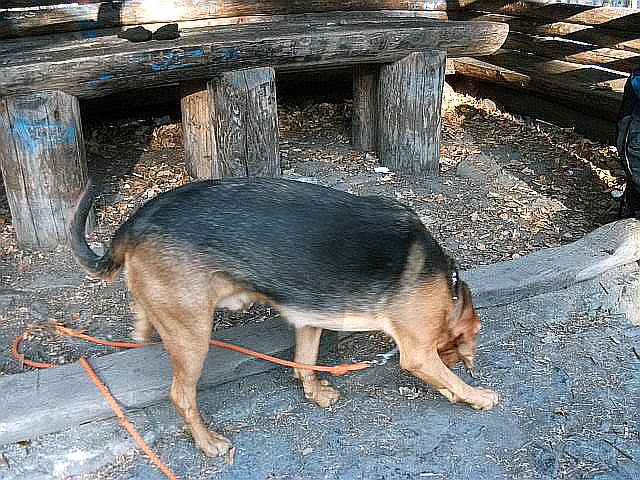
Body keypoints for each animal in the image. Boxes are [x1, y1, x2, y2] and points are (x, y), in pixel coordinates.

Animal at [71, 176, 500, 458]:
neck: (450, 287)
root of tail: (137, 221)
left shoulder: (309, 317)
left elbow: (304, 362)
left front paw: (314, 392)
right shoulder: (418, 355)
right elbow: (450, 379)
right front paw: (477, 395)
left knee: (143, 324)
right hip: (194, 335)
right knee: (181, 395)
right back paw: (208, 442)